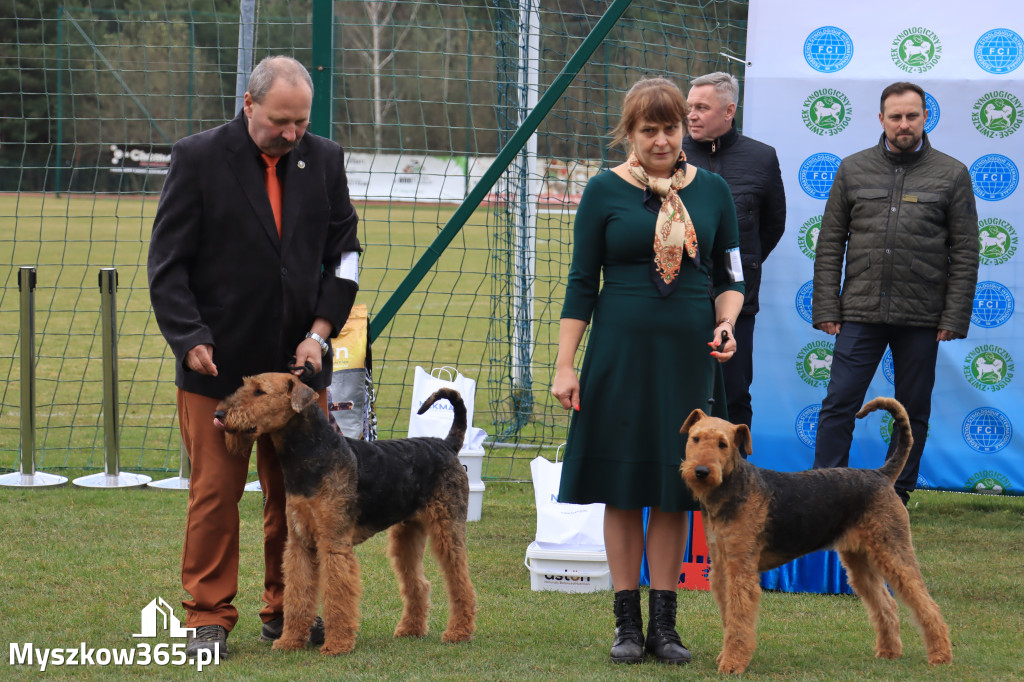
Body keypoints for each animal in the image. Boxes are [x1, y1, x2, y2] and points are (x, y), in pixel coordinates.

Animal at [214, 372, 477, 655]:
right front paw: (289, 641)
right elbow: (297, 594)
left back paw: (458, 632)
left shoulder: (334, 543)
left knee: (461, 582)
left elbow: (336, 594)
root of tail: (447, 445)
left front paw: (337, 644)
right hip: (406, 534)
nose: (219, 414)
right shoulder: (299, 544)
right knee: (418, 583)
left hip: (447, 528)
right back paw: (411, 630)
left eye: (259, 391)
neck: (313, 453)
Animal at [679, 395, 950, 671]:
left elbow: (738, 618)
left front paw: (733, 663)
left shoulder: (740, 569)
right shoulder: (722, 566)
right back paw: (889, 651)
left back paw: (940, 655)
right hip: (859, 560)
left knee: (925, 603)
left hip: (893, 551)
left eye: (722, 444)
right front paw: (726, 656)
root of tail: (881, 475)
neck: (732, 487)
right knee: (887, 604)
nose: (701, 472)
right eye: (695, 438)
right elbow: (728, 616)